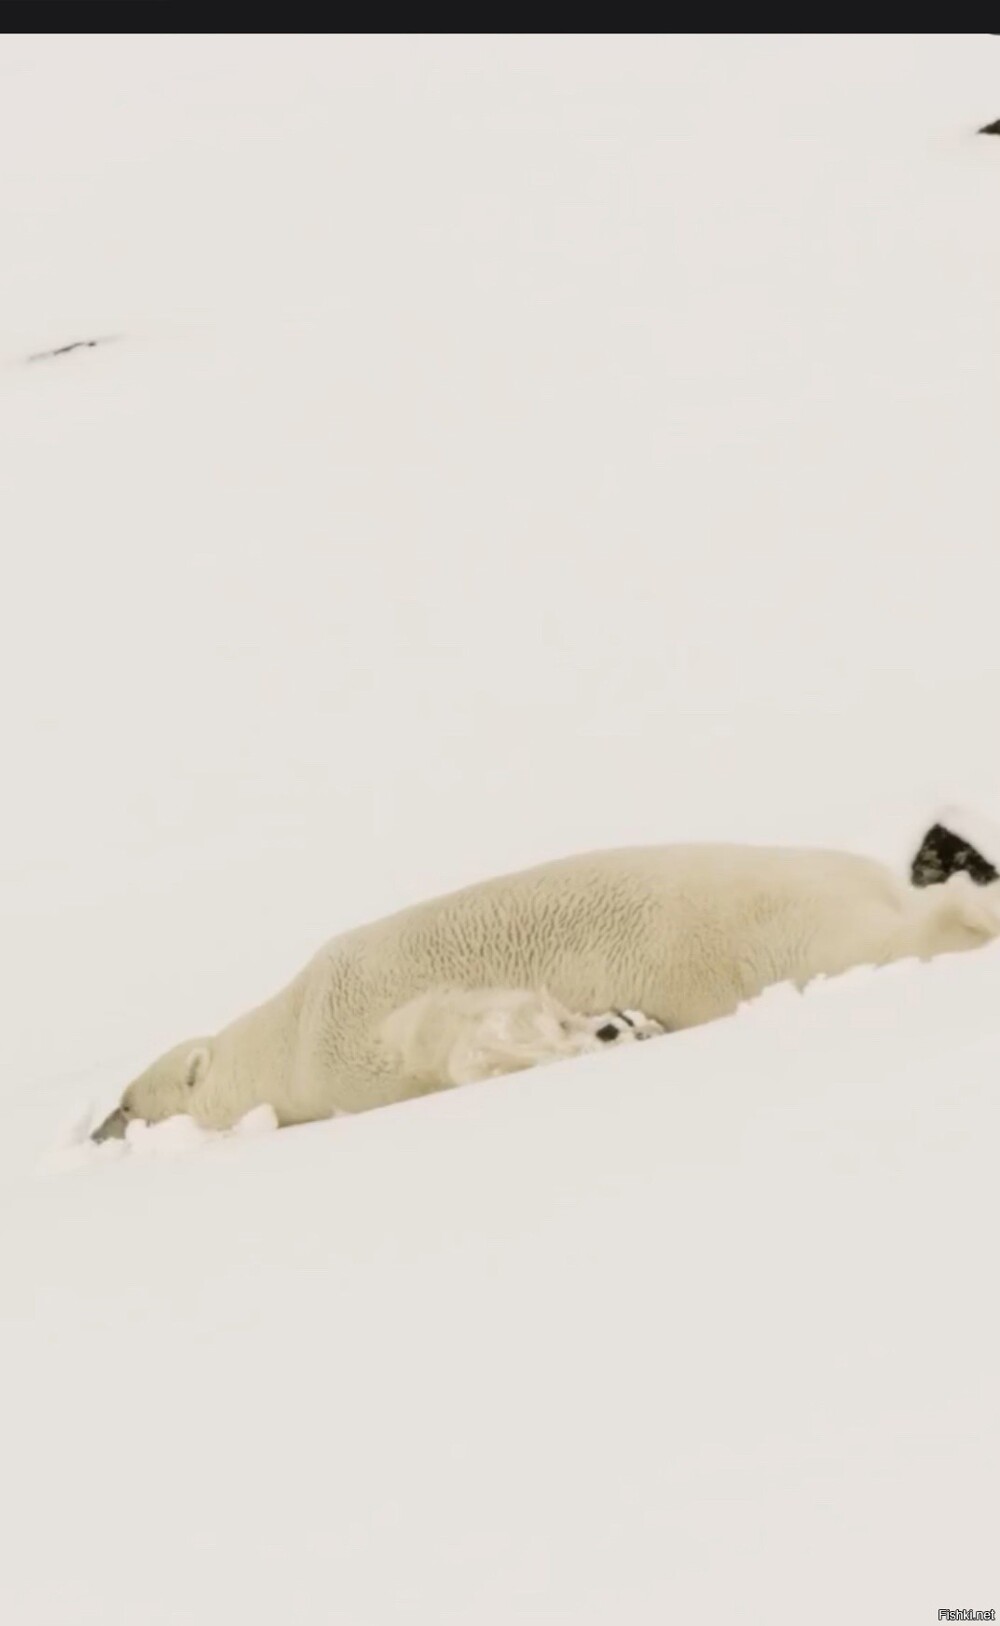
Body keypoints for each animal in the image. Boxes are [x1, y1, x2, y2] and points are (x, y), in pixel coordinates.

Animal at [89, 845, 1000, 1138]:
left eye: (130, 1100)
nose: (97, 1128)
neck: (284, 1038)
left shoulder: (349, 1027)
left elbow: (448, 1029)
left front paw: (598, 1029)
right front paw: (617, 1025)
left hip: (779, 929)